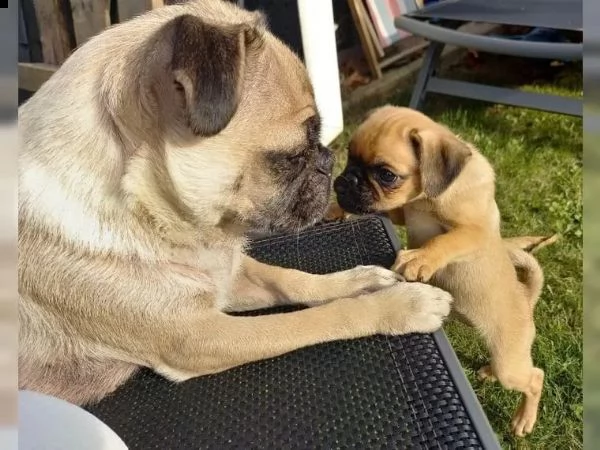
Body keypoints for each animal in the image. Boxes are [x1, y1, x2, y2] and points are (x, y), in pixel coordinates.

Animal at [17, 1, 454, 406]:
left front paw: (357, 282)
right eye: (292, 157)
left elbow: (293, 280)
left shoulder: (228, 275)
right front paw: (399, 306)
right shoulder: (201, 335)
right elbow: (317, 317)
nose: (328, 161)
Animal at [332, 105, 552, 436]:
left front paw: (419, 258)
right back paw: (489, 372)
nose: (347, 180)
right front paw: (335, 208)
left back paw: (524, 419)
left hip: (510, 363)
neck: (425, 199)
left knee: (535, 377)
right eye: (349, 157)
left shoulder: (475, 232)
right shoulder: (402, 211)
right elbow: (385, 209)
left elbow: (445, 240)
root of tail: (527, 298)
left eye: (386, 175)